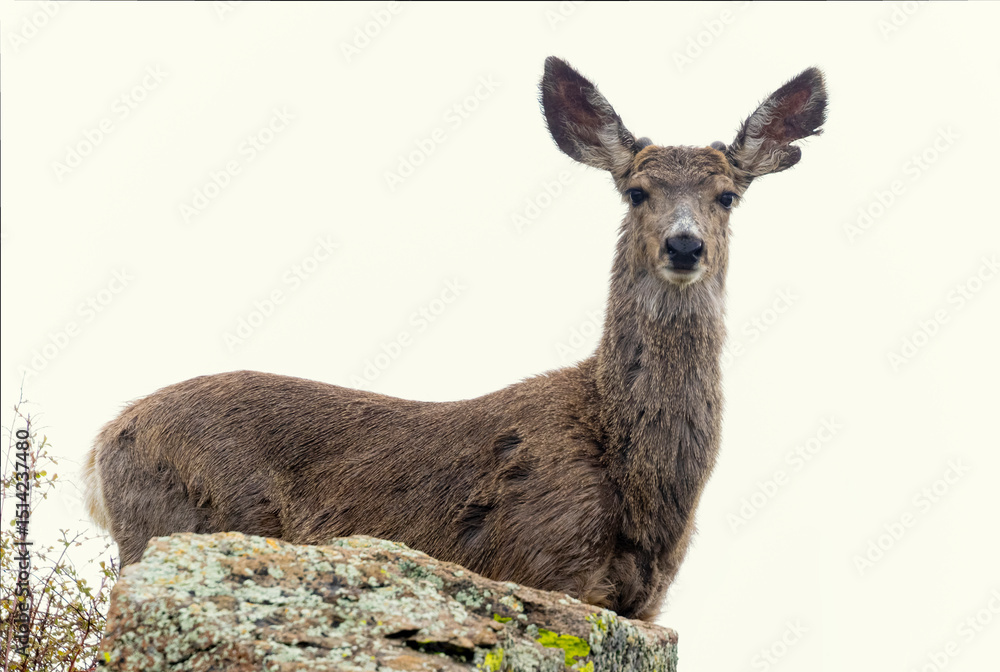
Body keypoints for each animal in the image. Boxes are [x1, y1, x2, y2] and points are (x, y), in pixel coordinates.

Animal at [82, 57, 826, 621]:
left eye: (728, 195)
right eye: (637, 191)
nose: (684, 244)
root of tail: (104, 443)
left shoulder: (643, 603)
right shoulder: (544, 566)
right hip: (178, 521)